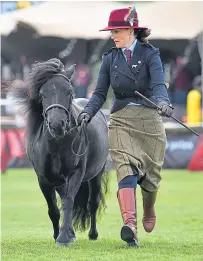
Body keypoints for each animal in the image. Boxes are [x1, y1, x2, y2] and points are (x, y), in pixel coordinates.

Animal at [8, 58, 109, 246]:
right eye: (42, 94)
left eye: (69, 91)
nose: (57, 124)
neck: (56, 145)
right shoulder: (44, 179)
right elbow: (54, 209)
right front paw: (59, 235)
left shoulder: (75, 173)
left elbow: (68, 202)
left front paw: (63, 238)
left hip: (96, 175)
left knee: (92, 203)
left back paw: (92, 234)